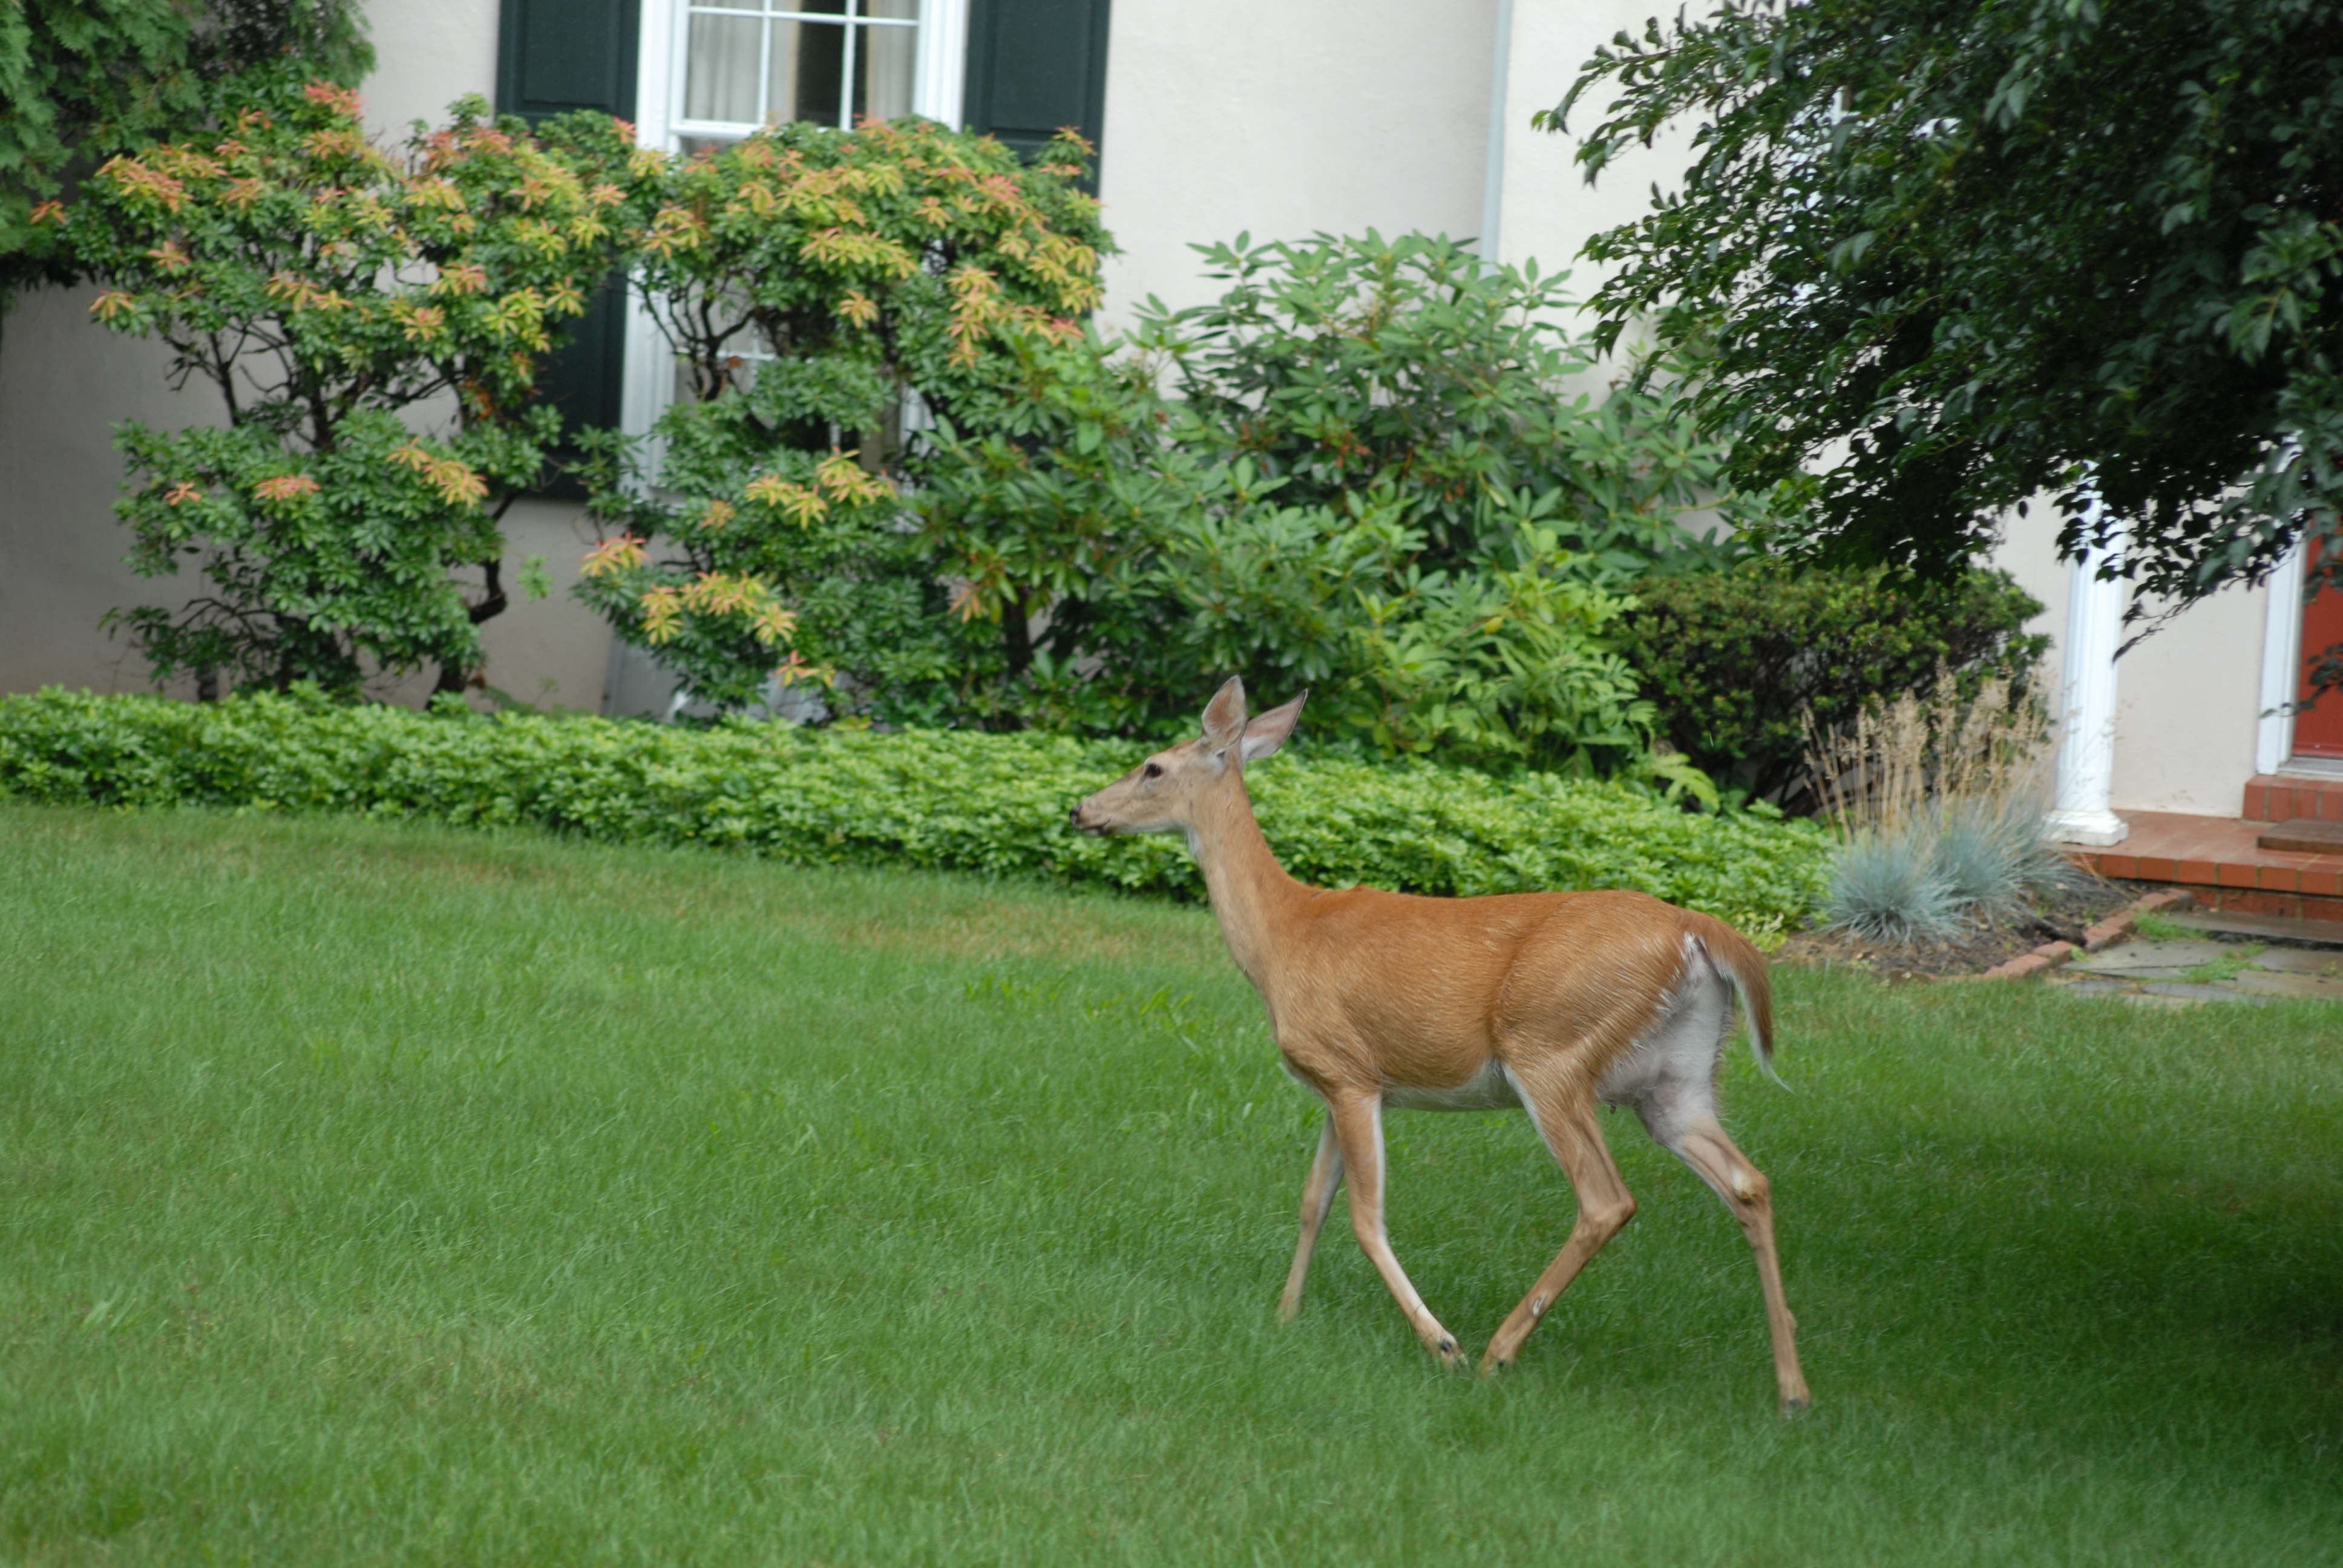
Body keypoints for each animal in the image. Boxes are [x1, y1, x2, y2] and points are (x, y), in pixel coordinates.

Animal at [1068, 679, 1809, 1416]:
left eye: (1153, 767)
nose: (1079, 810)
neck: (1284, 935)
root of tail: (1700, 930)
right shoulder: (1339, 1084)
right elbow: (1312, 1202)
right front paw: (1284, 1316)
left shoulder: (1348, 1070)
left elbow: (1364, 1216)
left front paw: (1440, 1343)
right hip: (1676, 1078)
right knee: (1749, 1183)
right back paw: (1792, 1390)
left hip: (1550, 1050)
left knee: (1607, 1200)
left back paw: (1495, 1352)